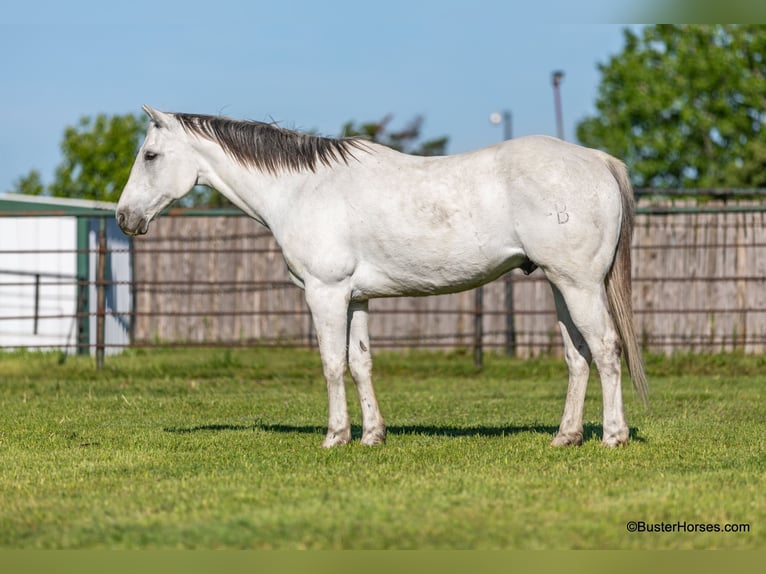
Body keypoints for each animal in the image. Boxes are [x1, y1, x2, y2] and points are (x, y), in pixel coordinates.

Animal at [118, 107, 648, 450]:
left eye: (149, 155)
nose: (124, 217)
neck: (303, 188)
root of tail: (596, 159)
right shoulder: (355, 299)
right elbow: (361, 364)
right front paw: (372, 436)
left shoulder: (325, 294)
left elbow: (332, 364)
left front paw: (335, 437)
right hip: (561, 286)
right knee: (578, 357)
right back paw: (566, 436)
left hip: (579, 286)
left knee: (606, 350)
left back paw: (613, 437)